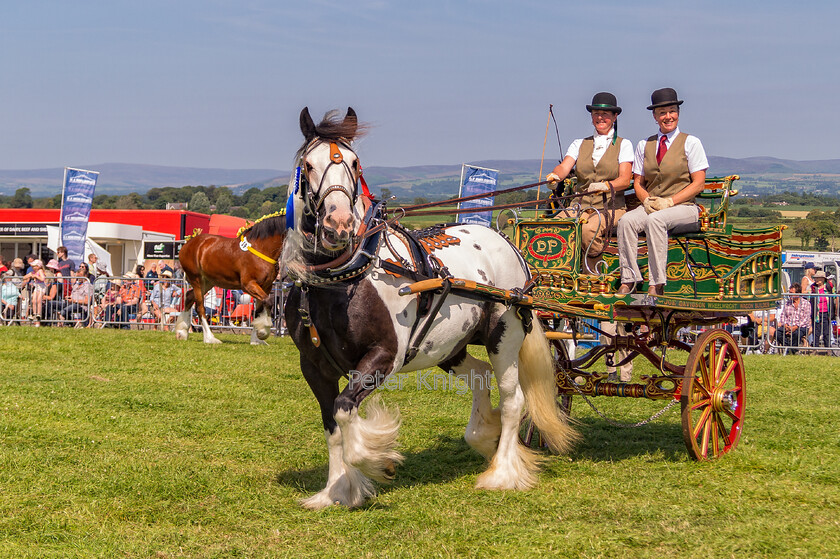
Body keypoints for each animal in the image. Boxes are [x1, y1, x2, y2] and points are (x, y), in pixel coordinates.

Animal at [174, 214, 286, 346]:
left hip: (207, 282)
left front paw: (256, 340)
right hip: (196, 280)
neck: (261, 248)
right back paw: (210, 338)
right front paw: (263, 332)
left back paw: (182, 332)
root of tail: (187, 245)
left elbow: (258, 310)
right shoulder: (249, 284)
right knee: (200, 307)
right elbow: (268, 302)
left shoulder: (266, 286)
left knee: (189, 296)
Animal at [284, 107, 576, 510]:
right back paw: (483, 434)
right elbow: (333, 427)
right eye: (308, 165)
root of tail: (506, 241)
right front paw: (337, 491)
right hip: (449, 347)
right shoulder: (314, 368)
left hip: (505, 335)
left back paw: (502, 472)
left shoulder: (383, 357)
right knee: (480, 376)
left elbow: (346, 414)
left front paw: (378, 459)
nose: (338, 224)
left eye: (355, 164)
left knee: (513, 399)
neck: (342, 279)